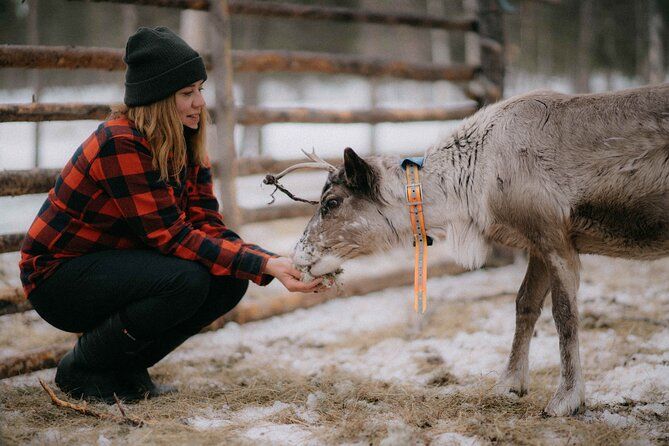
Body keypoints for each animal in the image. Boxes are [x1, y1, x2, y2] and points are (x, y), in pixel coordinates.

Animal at [265, 83, 669, 416]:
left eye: (330, 202)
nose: (297, 256)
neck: (472, 187)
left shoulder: (555, 237)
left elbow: (564, 315)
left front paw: (567, 399)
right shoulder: (538, 245)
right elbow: (524, 305)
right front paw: (510, 384)